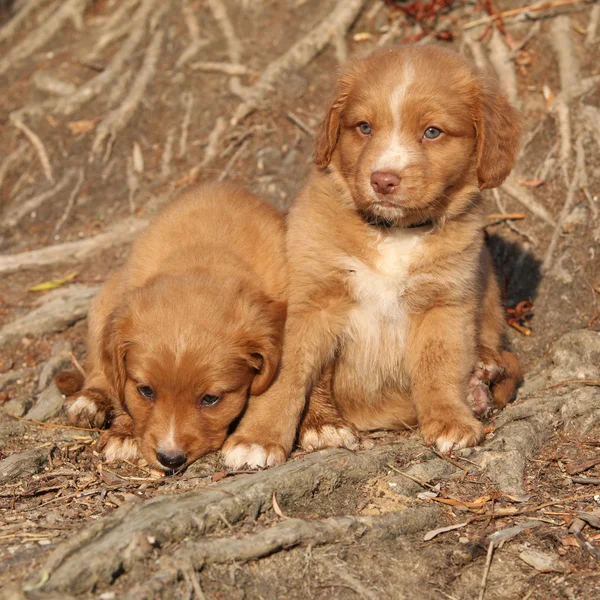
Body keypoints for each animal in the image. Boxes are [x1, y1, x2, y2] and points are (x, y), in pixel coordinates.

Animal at [58, 183, 286, 474]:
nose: (170, 458)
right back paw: (90, 399)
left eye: (211, 399)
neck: (205, 256)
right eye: (145, 391)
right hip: (104, 302)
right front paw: (125, 432)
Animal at [223, 47, 524, 468]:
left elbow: (440, 367)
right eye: (364, 127)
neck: (393, 233)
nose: (383, 180)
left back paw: (482, 376)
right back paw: (324, 425)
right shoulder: (310, 302)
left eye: (432, 132)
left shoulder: (445, 302)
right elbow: (287, 374)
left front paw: (451, 420)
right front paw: (258, 438)